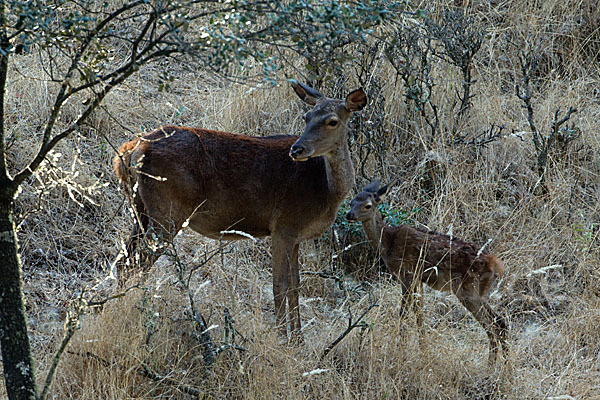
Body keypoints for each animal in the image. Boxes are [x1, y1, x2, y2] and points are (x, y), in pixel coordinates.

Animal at [112, 83, 366, 340]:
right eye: (307, 116)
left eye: (332, 121)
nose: (297, 149)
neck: (325, 188)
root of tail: (131, 150)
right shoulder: (284, 225)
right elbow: (279, 285)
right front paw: (282, 337)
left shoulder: (296, 236)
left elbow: (295, 286)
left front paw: (298, 339)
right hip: (168, 212)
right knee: (138, 262)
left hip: (141, 210)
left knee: (124, 261)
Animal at [344, 183, 508, 364]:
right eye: (351, 202)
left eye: (367, 205)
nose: (349, 214)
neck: (387, 243)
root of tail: (495, 264)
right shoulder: (418, 279)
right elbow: (419, 313)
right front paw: (423, 347)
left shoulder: (406, 273)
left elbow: (404, 313)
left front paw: (400, 348)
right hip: (479, 291)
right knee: (500, 322)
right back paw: (504, 367)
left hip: (468, 289)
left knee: (493, 325)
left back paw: (492, 366)